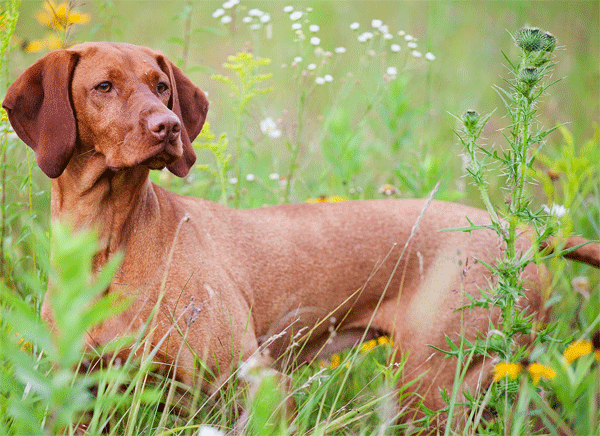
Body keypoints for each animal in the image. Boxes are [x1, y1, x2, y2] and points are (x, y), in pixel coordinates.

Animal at [2, 42, 596, 428]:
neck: (105, 241)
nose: (167, 127)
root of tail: (521, 235)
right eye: (103, 86)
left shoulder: (258, 383)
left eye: (162, 86)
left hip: (434, 384)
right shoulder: (80, 393)